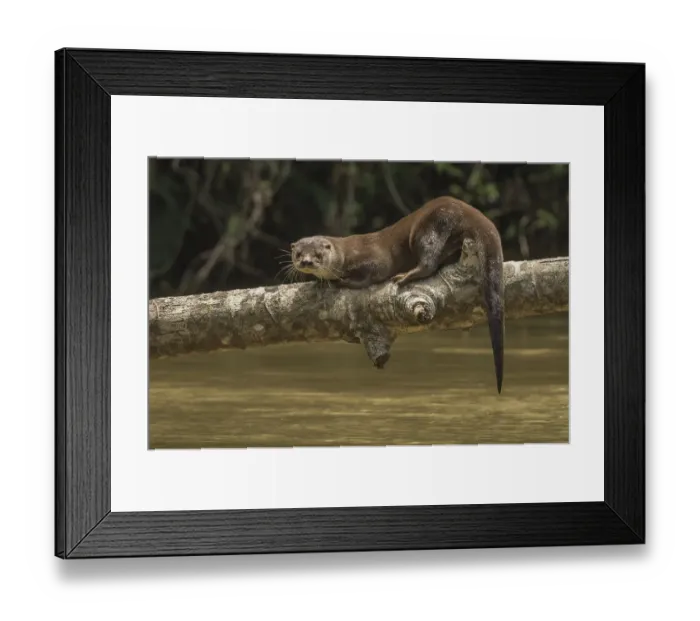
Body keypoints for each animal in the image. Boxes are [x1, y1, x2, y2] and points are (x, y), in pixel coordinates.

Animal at [290, 196, 505, 393]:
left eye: (318, 254)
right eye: (298, 254)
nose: (306, 262)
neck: (346, 255)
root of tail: (464, 207)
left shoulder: (373, 259)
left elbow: (371, 275)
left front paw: (342, 281)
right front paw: (319, 282)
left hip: (430, 226)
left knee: (428, 258)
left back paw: (405, 276)